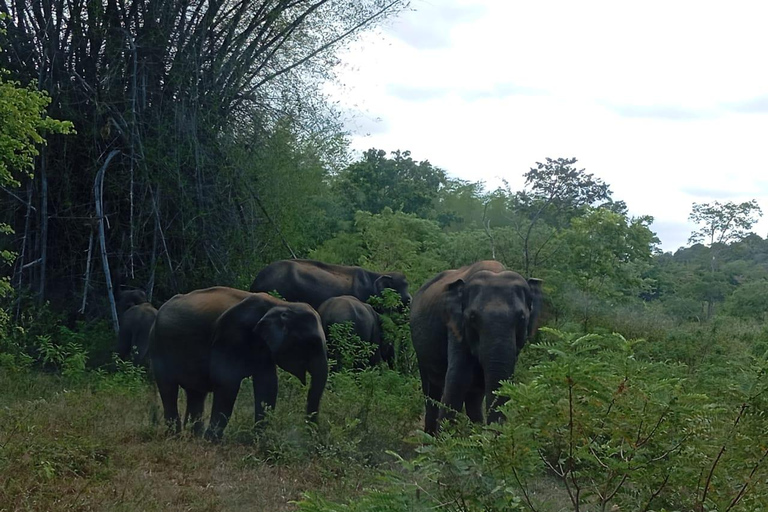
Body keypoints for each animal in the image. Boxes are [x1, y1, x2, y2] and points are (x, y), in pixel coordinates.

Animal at [150, 286, 328, 438]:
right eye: (312, 343)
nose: (310, 435)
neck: (282, 305)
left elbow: (267, 384)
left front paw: (258, 439)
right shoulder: (231, 335)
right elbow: (227, 381)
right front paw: (212, 440)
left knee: (196, 393)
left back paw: (195, 436)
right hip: (159, 346)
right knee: (168, 389)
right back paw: (176, 435)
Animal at [412, 262, 544, 434]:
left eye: (522, 317)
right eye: (472, 317)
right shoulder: (456, 328)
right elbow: (458, 377)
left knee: (474, 394)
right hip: (420, 349)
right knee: (431, 388)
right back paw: (429, 436)